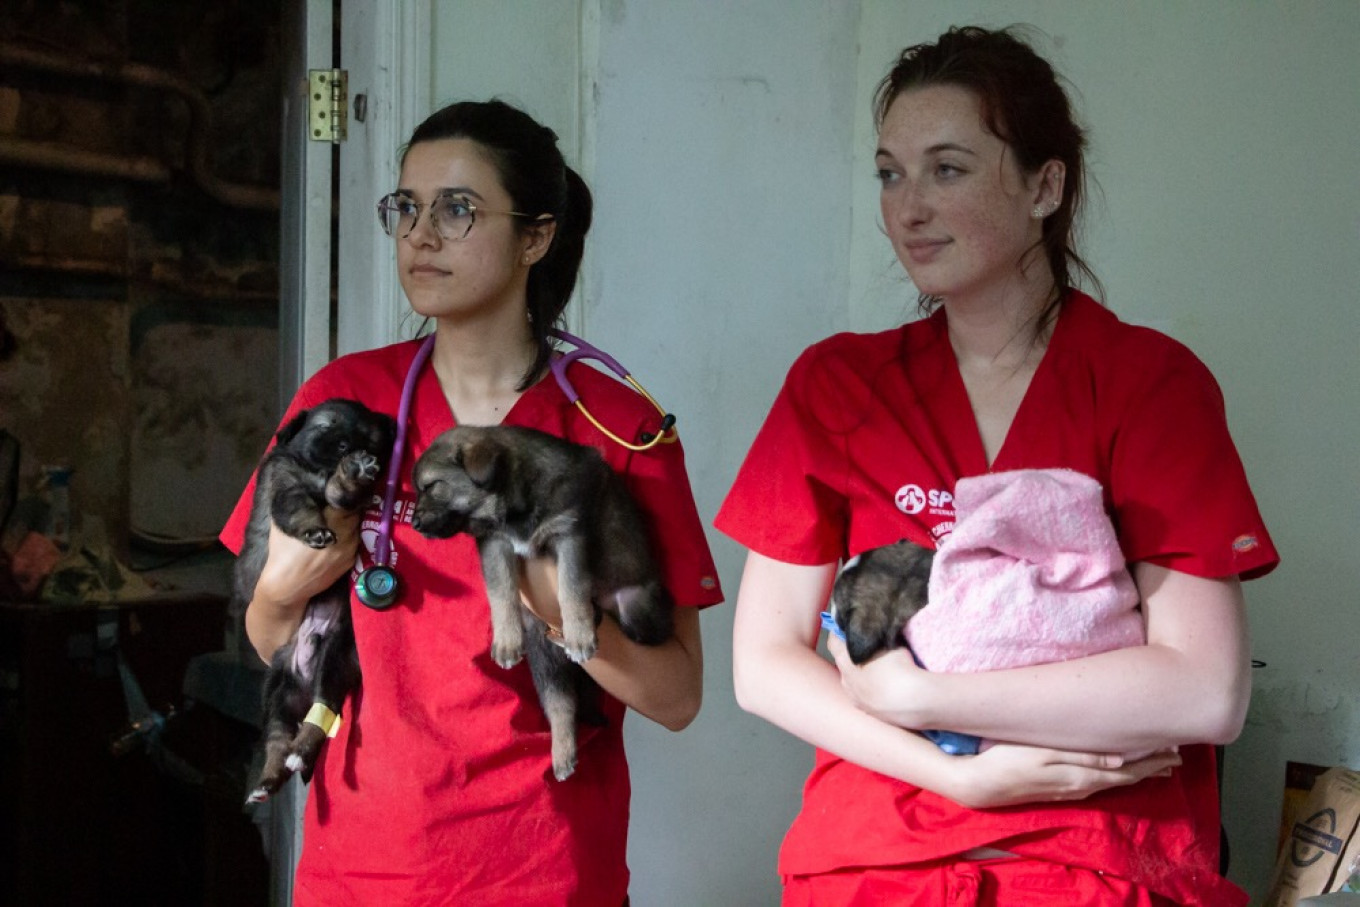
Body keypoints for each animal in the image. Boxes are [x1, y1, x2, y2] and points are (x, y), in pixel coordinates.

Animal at [229, 399, 397, 805]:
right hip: (275, 691)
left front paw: (353, 471)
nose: (348, 447)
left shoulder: (346, 501)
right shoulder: (286, 486)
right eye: (326, 424)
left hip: (334, 660)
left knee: (320, 716)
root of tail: (303, 679)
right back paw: (267, 781)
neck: (318, 469)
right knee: (277, 739)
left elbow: (339, 491)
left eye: (369, 437)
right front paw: (315, 530)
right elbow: (300, 507)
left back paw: (297, 755)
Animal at [408, 426, 674, 783]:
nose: (414, 524)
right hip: (544, 659)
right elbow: (501, 591)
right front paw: (506, 642)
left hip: (639, 610)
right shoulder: (494, 543)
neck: (512, 503)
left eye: (432, 485)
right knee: (560, 703)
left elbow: (571, 588)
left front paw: (579, 633)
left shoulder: (569, 534)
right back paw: (562, 753)